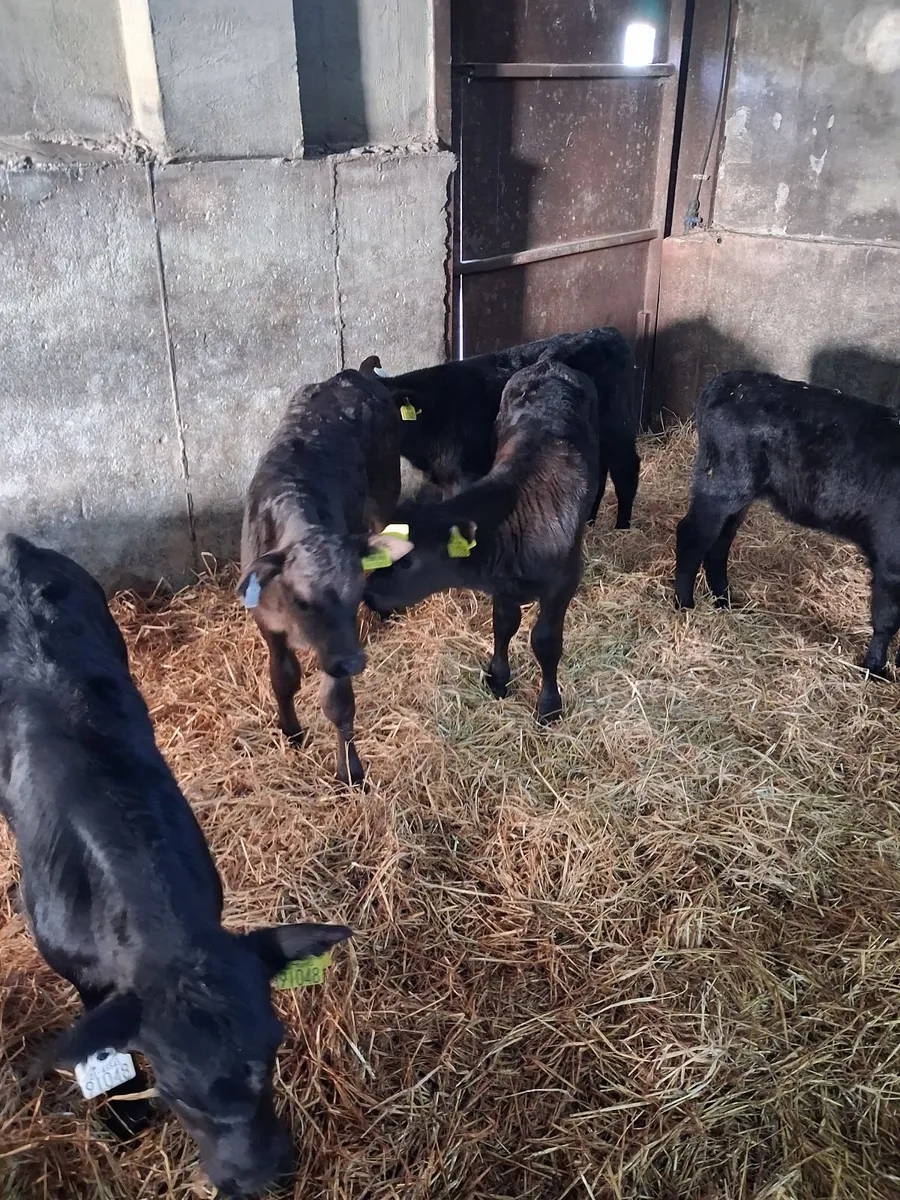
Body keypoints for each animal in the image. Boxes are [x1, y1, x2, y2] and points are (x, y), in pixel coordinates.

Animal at [238, 368, 410, 785]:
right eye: (303, 600)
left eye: (354, 591)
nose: (352, 662)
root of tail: (353, 373)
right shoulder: (267, 624)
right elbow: (283, 678)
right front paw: (291, 731)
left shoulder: (338, 646)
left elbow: (338, 703)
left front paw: (349, 770)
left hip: (385, 490)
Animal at [363, 326, 639, 528]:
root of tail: (608, 332)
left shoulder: (466, 474)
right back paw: (590, 522)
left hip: (618, 427)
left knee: (626, 469)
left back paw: (622, 528)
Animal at [363, 358, 599, 722]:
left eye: (408, 561)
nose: (368, 595)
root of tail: (548, 364)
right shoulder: (503, 586)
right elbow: (503, 625)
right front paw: (498, 677)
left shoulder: (563, 584)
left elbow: (545, 641)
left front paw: (549, 705)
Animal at [674, 370, 900, 677]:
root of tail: (725, 382)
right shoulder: (891, 560)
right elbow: (887, 618)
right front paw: (875, 668)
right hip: (721, 483)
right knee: (692, 536)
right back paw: (685, 605)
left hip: (738, 494)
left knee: (719, 543)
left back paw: (725, 600)